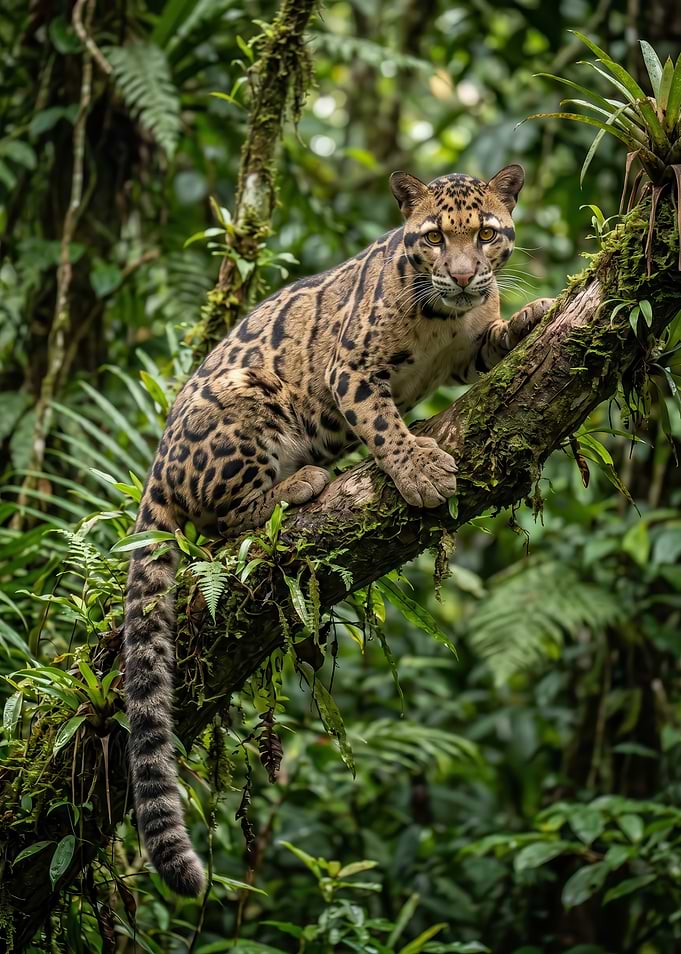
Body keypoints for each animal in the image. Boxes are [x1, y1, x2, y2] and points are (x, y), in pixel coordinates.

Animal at [123, 163, 553, 896]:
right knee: (223, 518)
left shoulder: (467, 351)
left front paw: (534, 315)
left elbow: (495, 341)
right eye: (434, 238)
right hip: (245, 398)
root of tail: (156, 466)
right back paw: (300, 483)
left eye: (486, 235)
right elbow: (382, 423)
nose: (464, 275)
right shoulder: (348, 369)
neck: (446, 319)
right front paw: (418, 470)